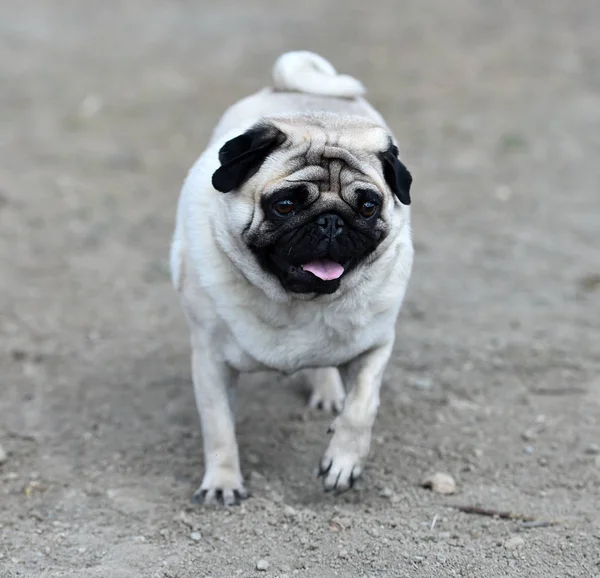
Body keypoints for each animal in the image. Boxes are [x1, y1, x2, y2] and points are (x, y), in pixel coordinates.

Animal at [169, 50, 412, 504]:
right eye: (285, 205)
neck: (298, 303)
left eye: (368, 206)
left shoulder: (376, 345)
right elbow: (218, 427)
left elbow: (363, 406)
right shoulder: (210, 362)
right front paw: (223, 482)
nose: (331, 221)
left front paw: (343, 462)